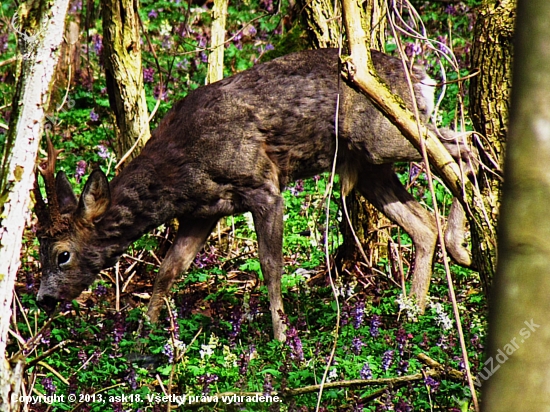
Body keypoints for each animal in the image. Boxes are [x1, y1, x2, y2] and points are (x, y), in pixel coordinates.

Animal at [34, 48, 476, 342]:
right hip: (368, 164)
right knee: (424, 222)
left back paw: (459, 246)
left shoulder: (263, 185)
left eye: (62, 254)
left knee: (464, 145)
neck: (180, 165)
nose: (42, 299)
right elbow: (169, 269)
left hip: (383, 137)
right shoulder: (202, 211)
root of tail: (422, 76)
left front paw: (281, 336)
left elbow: (270, 265)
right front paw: (146, 329)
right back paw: (414, 312)